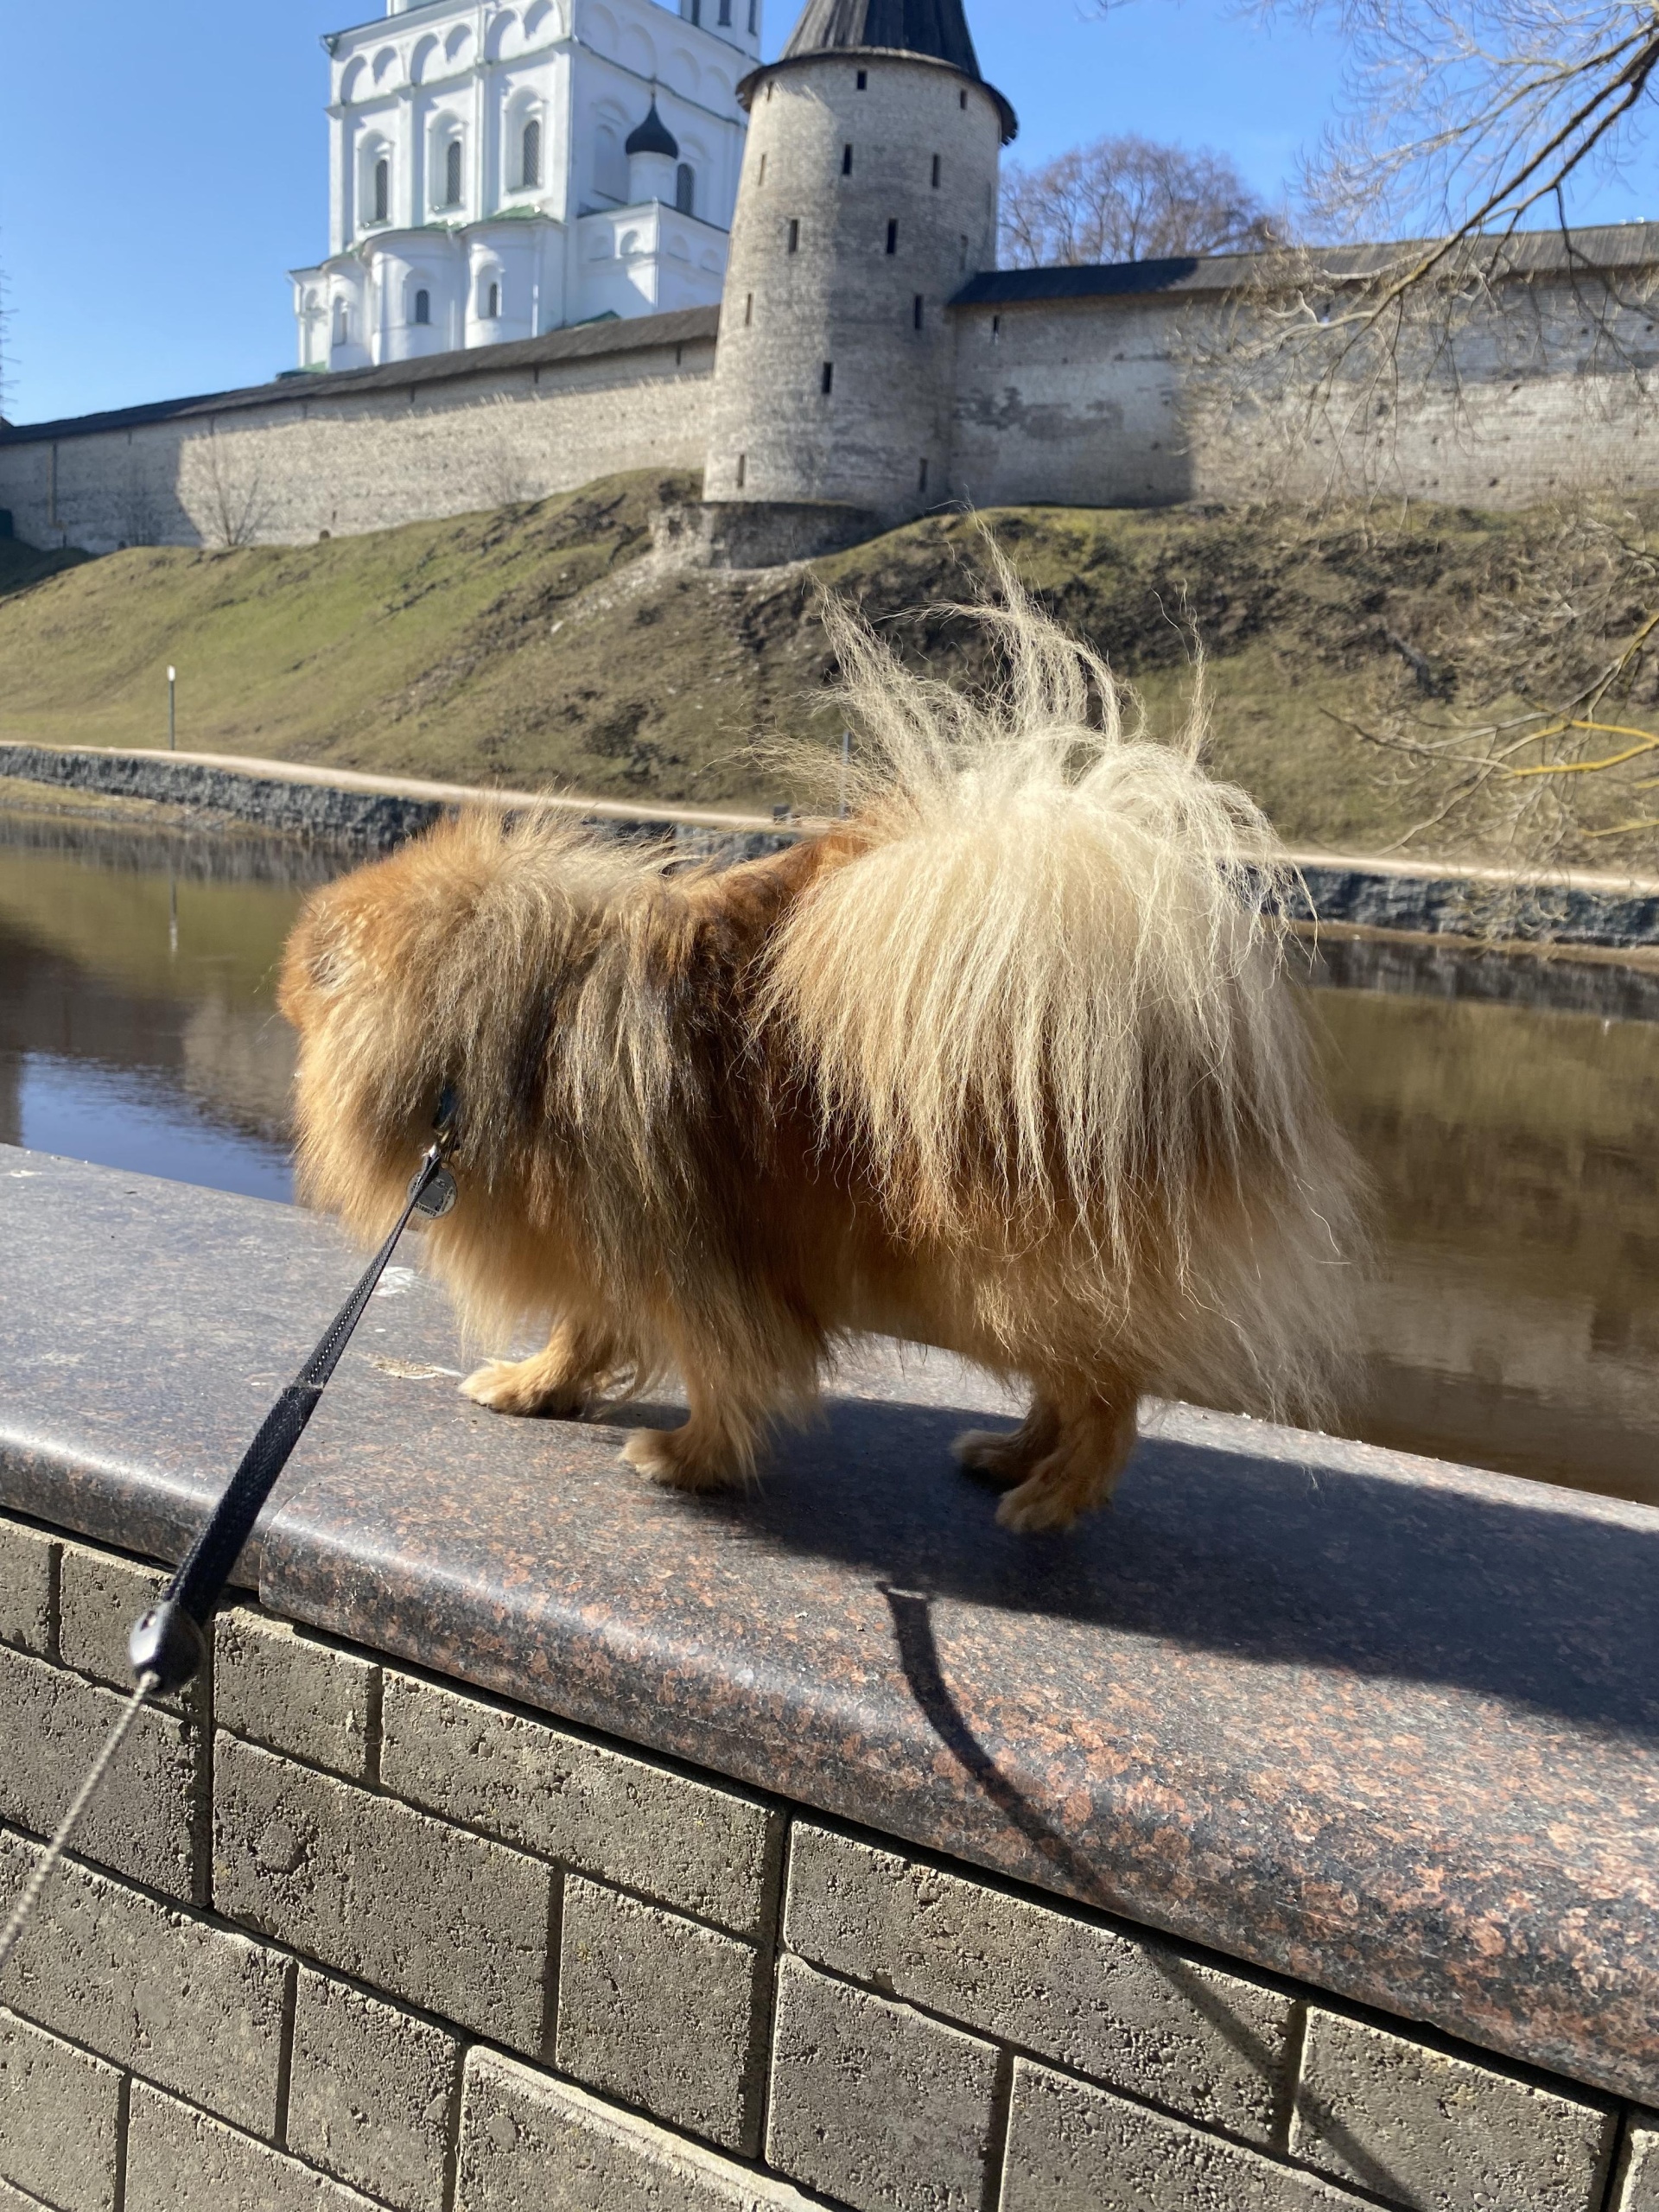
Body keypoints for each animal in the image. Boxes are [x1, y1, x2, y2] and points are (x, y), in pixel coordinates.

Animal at [276, 579, 1362, 1530]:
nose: (285, 1001)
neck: (521, 1018)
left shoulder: (684, 1249)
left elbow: (721, 1362)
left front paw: (690, 1457)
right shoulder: (613, 1235)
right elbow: (587, 1326)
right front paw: (538, 1384)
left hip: (1008, 1261)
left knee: (1108, 1388)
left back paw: (1054, 1495)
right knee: (1077, 1376)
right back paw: (1012, 1452)